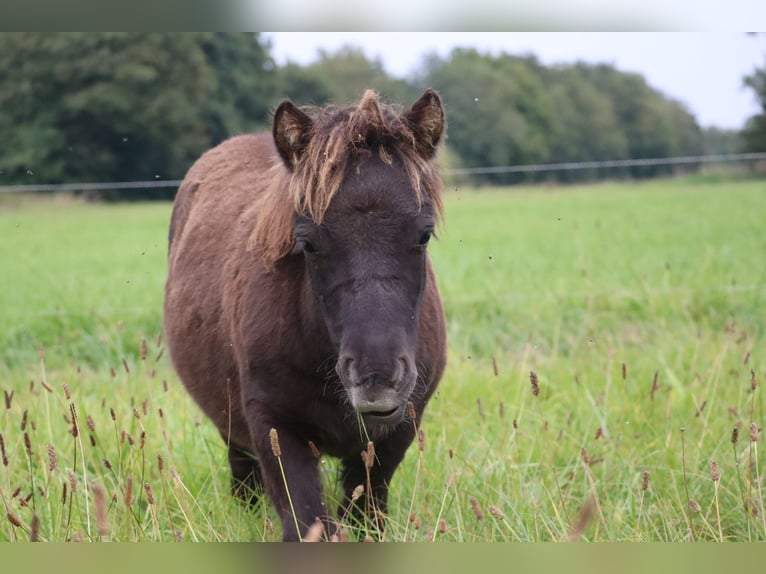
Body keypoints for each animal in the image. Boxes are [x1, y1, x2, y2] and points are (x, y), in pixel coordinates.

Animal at [163, 89, 447, 541]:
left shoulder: (395, 433)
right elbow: (306, 522)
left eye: (423, 235)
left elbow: (366, 515)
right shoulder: (274, 429)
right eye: (308, 243)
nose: (377, 380)